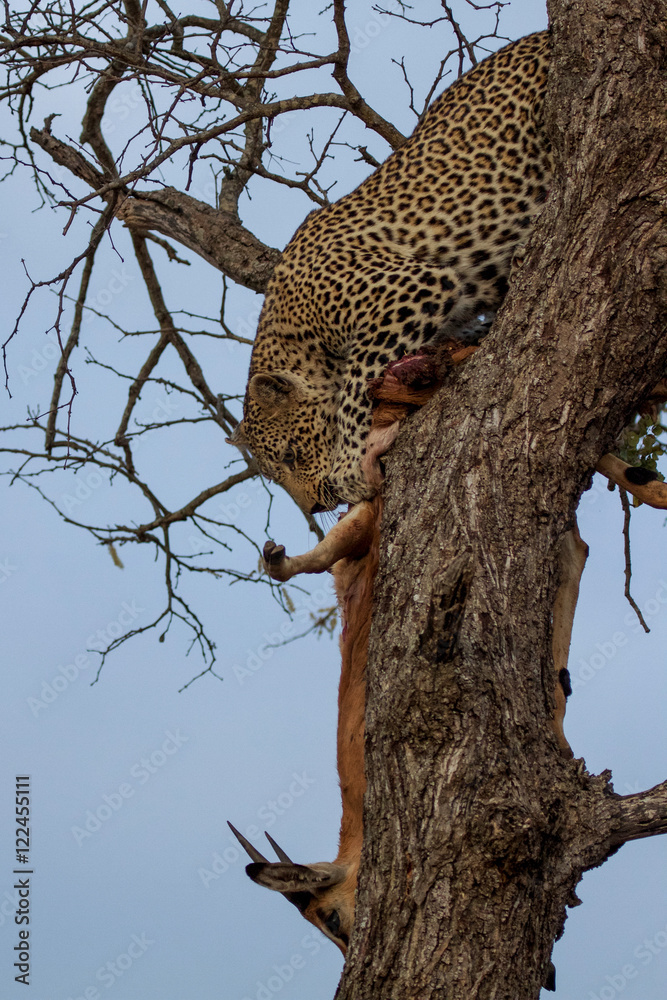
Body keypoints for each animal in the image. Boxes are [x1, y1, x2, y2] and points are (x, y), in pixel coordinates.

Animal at [231, 31, 552, 514]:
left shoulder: (406, 290)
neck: (294, 327)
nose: (315, 507)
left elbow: (356, 386)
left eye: (291, 454)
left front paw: (349, 467)